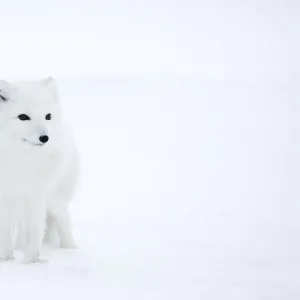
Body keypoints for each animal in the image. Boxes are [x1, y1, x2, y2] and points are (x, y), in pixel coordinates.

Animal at [0, 77, 79, 262]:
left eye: (47, 116)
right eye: (23, 117)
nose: (45, 138)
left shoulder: (36, 195)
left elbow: (35, 229)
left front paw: (30, 260)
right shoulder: (6, 197)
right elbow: (5, 231)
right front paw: (5, 258)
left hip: (55, 201)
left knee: (64, 220)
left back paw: (70, 250)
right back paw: (18, 247)